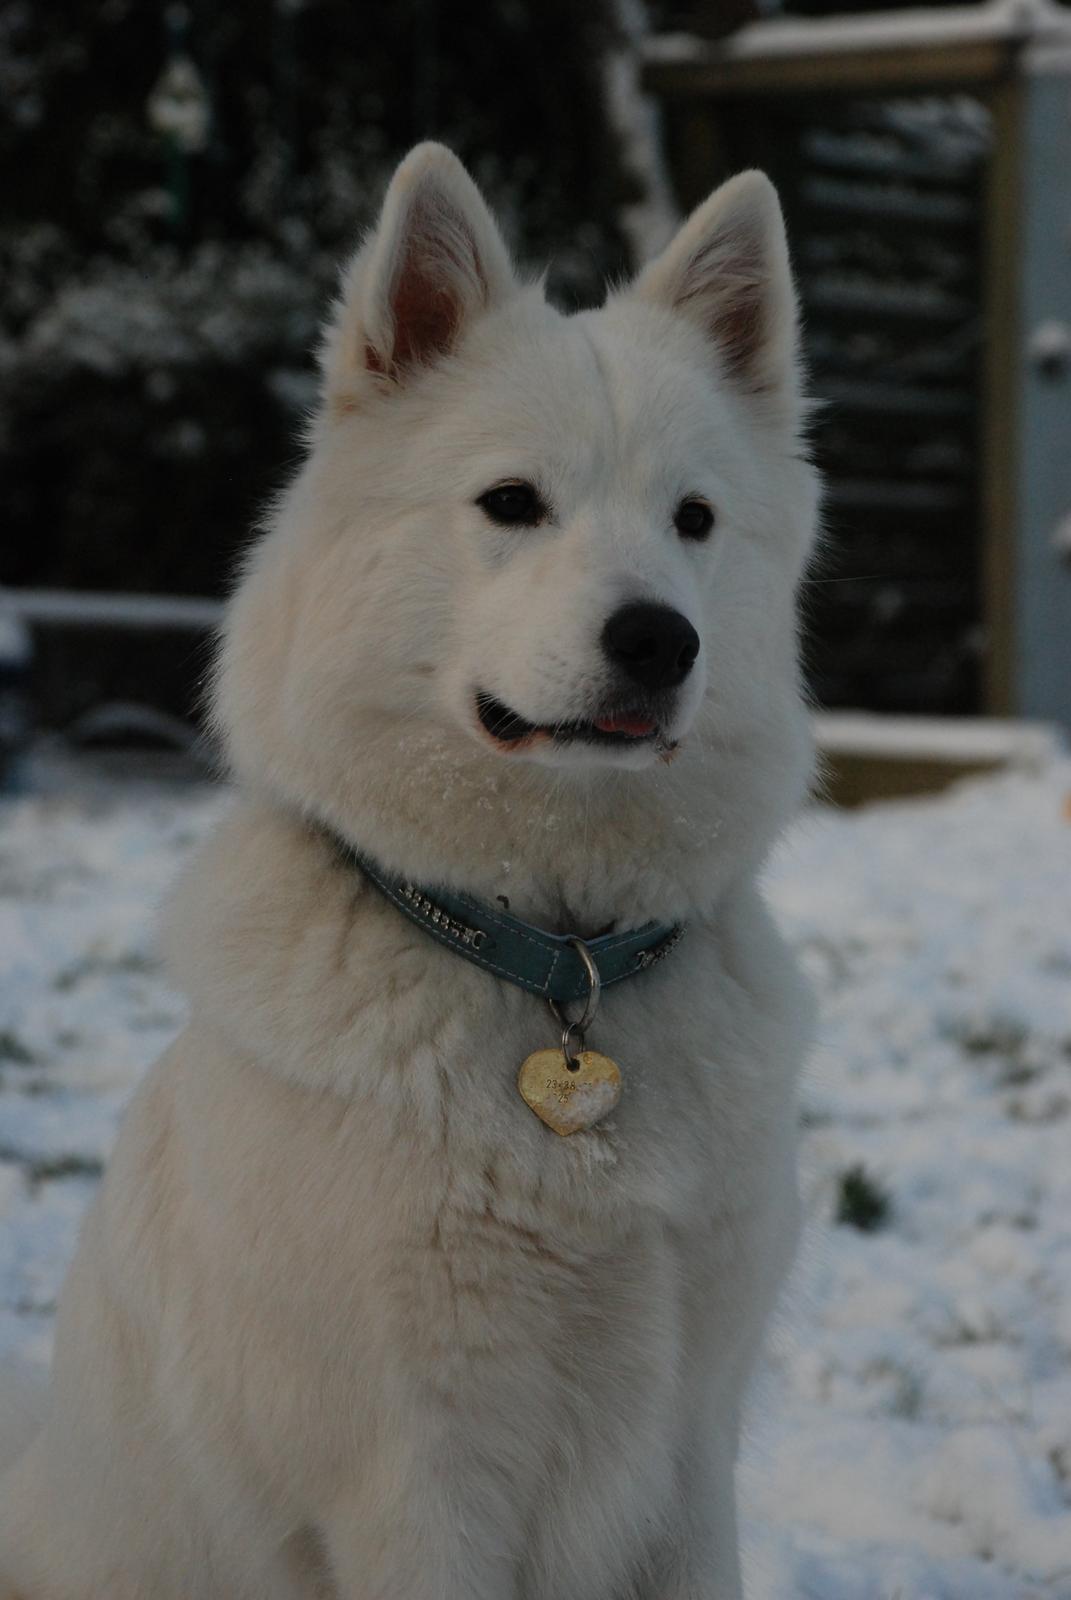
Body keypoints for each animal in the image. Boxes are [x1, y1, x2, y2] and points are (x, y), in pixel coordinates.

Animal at [0, 144, 813, 1593]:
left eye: (694, 519)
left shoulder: (687, 1460)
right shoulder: (416, 1484)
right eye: (511, 503)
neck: (557, 964)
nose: (658, 640)